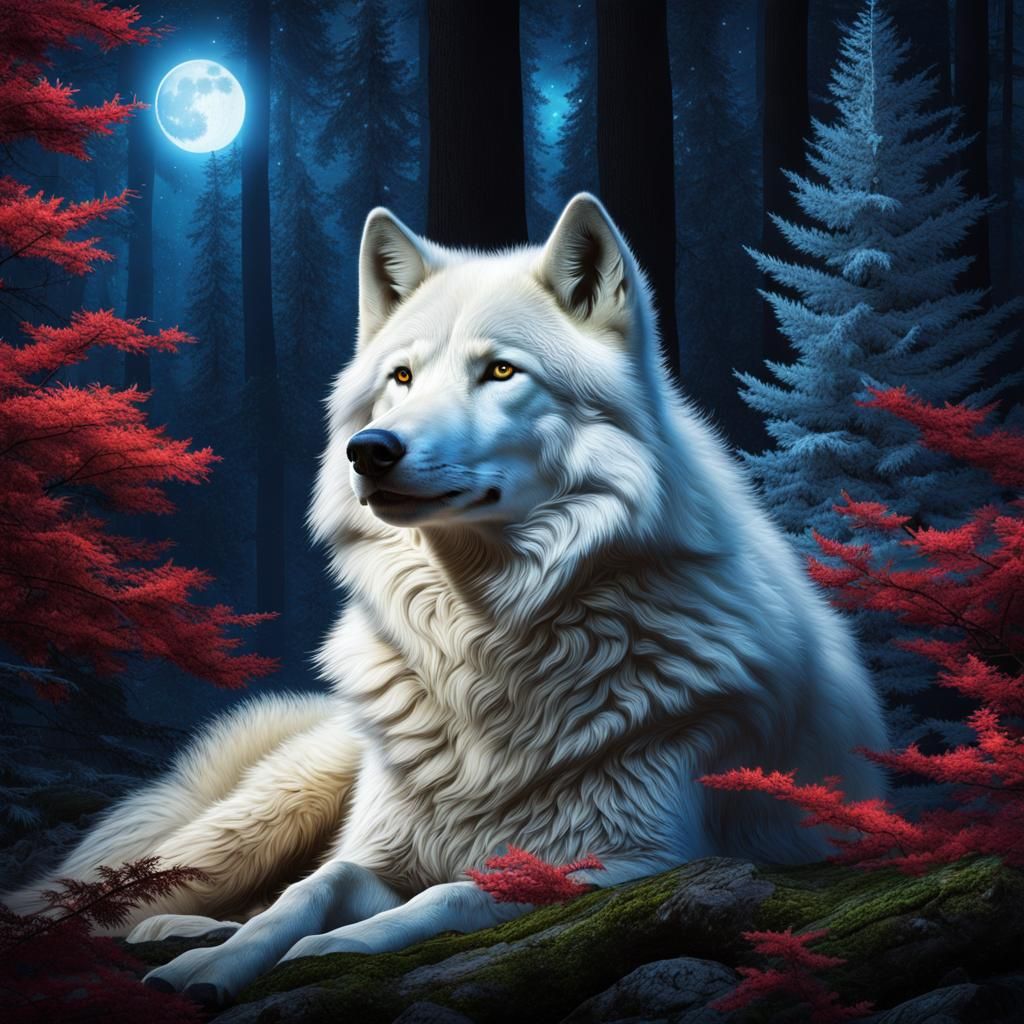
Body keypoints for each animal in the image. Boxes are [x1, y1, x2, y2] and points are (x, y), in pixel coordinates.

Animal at [8, 194, 887, 1007]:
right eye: (400, 378)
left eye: (500, 371)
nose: (369, 451)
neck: (483, 643)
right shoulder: (375, 849)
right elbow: (310, 889)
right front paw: (219, 964)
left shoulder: (641, 860)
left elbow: (455, 892)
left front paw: (333, 950)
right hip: (254, 822)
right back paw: (171, 931)